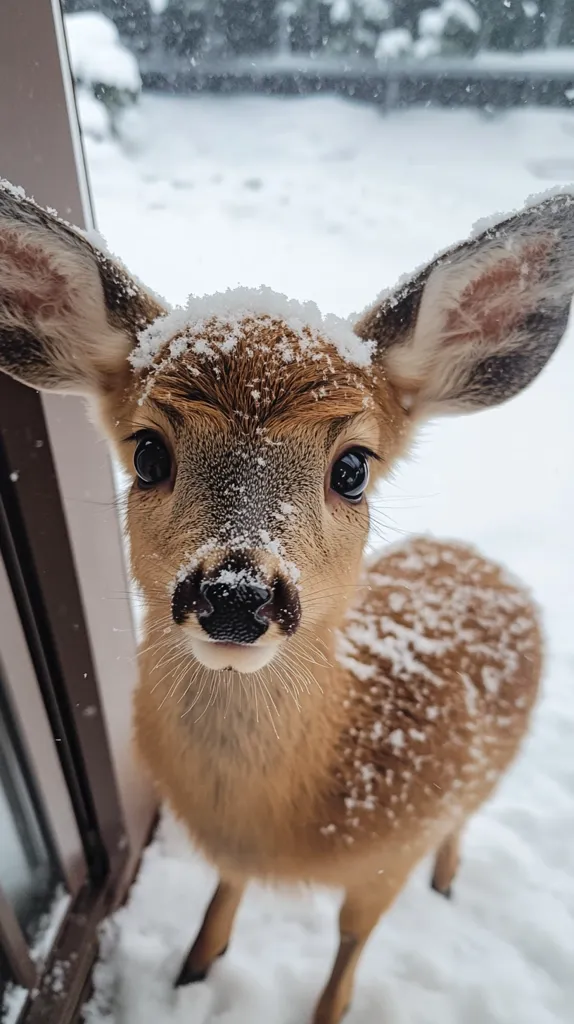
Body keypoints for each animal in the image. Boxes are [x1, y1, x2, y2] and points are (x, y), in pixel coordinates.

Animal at [1, 178, 572, 1023]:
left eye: (353, 468)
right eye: (148, 453)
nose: (236, 594)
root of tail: (472, 556)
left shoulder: (387, 857)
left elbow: (351, 944)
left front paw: (325, 1009)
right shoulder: (229, 848)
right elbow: (223, 889)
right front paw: (193, 969)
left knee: (463, 820)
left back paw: (446, 880)